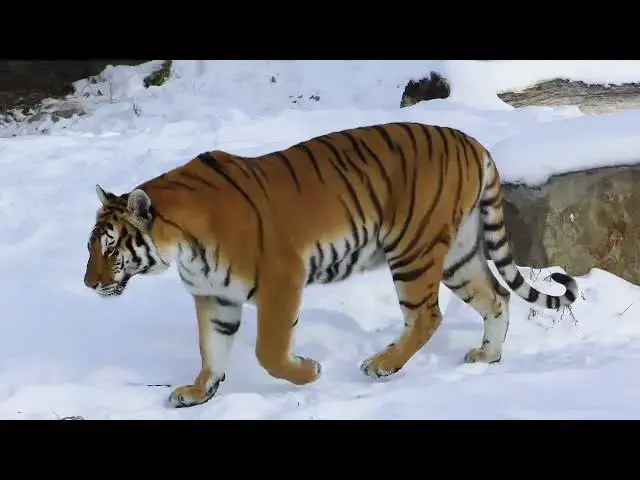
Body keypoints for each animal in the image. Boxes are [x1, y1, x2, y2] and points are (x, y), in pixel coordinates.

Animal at [83, 121, 579, 408]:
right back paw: (487, 356)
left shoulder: (281, 279)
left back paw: (382, 364)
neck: (180, 247)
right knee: (496, 297)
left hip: (413, 249)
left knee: (427, 315)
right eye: (91, 247)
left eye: (109, 248)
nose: (88, 285)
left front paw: (309, 372)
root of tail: (472, 141)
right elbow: (211, 349)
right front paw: (199, 391)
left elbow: (268, 351)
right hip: (458, 254)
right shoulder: (213, 297)